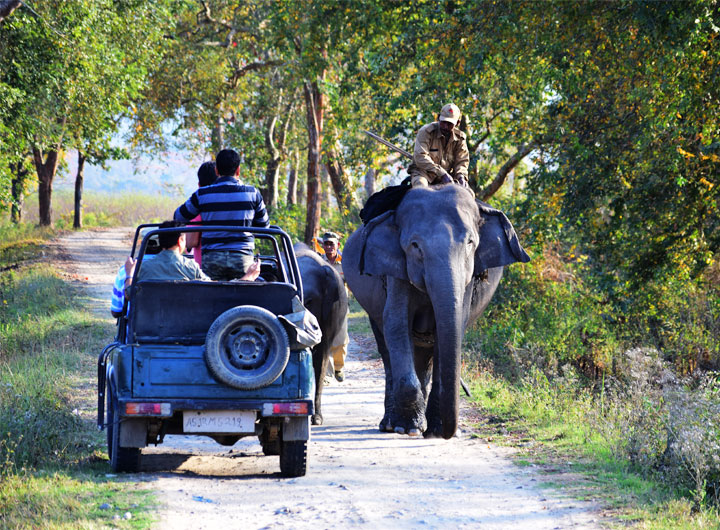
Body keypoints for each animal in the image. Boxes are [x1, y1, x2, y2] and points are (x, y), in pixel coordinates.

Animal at [344, 184, 528, 440]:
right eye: (415, 245)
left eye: (470, 242)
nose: (451, 432)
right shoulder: (395, 270)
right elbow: (396, 323)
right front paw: (408, 429)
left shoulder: (470, 275)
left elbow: (455, 325)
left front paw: (437, 430)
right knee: (387, 349)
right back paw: (392, 425)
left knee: (424, 357)